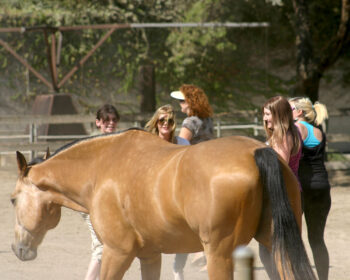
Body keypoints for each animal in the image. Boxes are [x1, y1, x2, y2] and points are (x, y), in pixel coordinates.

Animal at [10, 129, 318, 280]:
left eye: (12, 199)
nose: (17, 249)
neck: (100, 168)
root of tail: (258, 151)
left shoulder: (117, 252)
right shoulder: (150, 255)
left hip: (219, 255)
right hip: (275, 247)